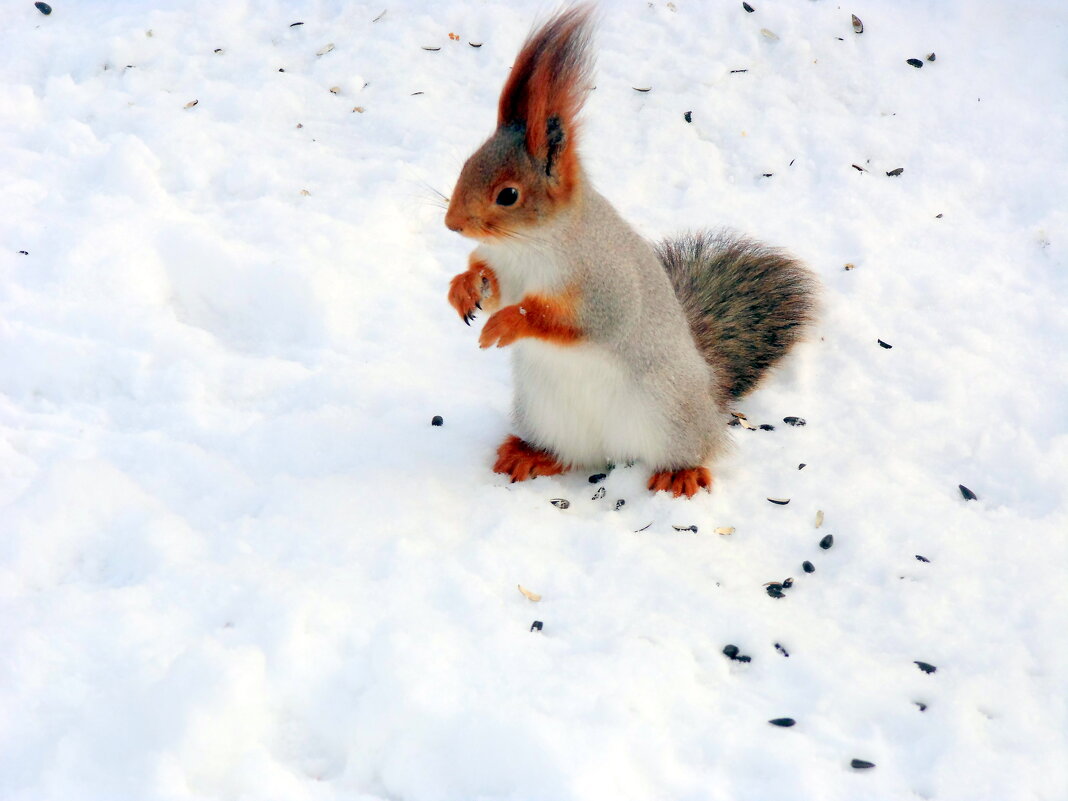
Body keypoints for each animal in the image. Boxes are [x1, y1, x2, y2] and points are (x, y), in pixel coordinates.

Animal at [442, 4, 815, 495]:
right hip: (546, 413)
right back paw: (532, 455)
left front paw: (510, 321)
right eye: (466, 164)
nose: (452, 224)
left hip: (670, 414)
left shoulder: (607, 283)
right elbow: (492, 284)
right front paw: (465, 287)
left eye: (508, 195)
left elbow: (575, 319)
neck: (531, 244)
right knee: (569, 454)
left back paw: (680, 473)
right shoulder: (505, 267)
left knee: (693, 449)